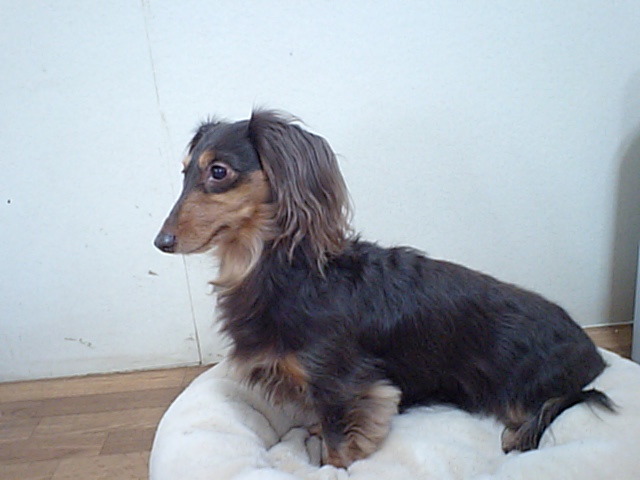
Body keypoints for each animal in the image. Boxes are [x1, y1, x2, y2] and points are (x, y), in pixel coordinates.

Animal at [154, 109, 613, 468]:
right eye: (184, 171)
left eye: (218, 172)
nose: (161, 242)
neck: (280, 271)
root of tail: (592, 350)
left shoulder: (342, 384)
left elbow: (339, 445)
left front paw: (333, 465)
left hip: (523, 386)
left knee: (561, 400)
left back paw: (519, 435)